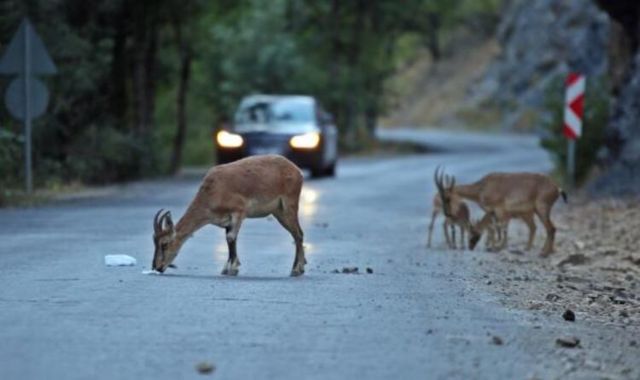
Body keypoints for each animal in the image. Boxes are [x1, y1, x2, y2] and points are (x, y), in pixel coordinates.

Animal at [152, 154, 308, 276]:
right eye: (155, 241)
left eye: (164, 244)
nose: (157, 267)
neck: (213, 191)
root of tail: (298, 172)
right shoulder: (227, 220)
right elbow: (229, 239)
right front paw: (227, 268)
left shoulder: (239, 211)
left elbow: (231, 237)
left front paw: (232, 269)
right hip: (278, 212)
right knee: (297, 233)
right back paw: (301, 266)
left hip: (290, 205)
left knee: (298, 233)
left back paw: (296, 270)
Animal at [436, 168, 564, 256]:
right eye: (442, 197)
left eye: (447, 197)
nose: (447, 213)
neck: (482, 187)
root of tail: (557, 188)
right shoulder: (493, 213)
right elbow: (495, 228)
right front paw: (494, 247)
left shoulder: (500, 211)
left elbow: (501, 228)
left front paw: (497, 247)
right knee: (540, 228)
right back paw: (536, 250)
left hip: (541, 209)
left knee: (551, 228)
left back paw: (545, 253)